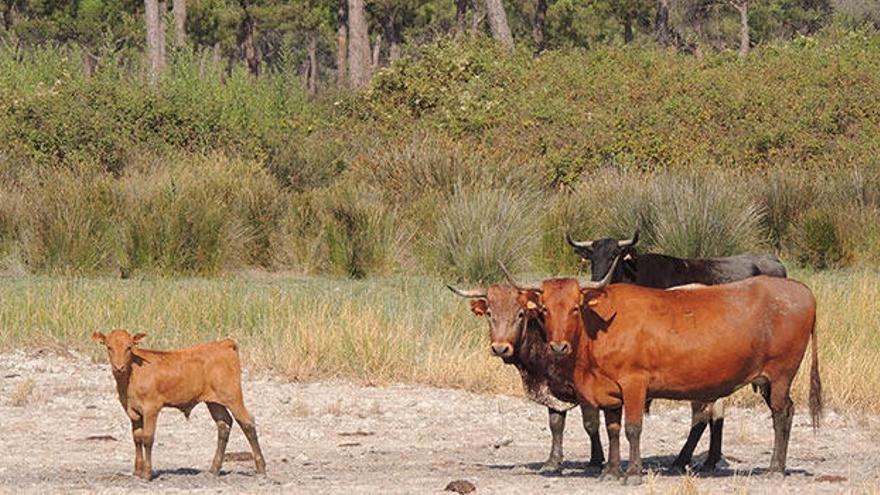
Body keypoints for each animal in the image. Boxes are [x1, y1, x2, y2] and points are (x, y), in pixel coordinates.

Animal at [93, 330, 266, 480]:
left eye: (129, 347)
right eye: (109, 347)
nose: (119, 367)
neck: (131, 376)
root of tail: (223, 344)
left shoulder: (151, 408)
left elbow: (147, 438)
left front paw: (147, 474)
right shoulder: (133, 411)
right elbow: (137, 438)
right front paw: (137, 471)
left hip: (232, 396)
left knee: (247, 422)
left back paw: (261, 468)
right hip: (214, 402)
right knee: (224, 424)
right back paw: (214, 469)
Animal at [512, 276, 820, 484]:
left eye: (575, 307)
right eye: (544, 310)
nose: (558, 347)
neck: (598, 328)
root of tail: (801, 290)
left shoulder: (634, 383)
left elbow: (633, 428)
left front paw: (633, 473)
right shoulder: (609, 391)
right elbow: (612, 429)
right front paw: (611, 471)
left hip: (780, 374)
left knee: (781, 414)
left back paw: (775, 468)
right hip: (767, 380)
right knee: (787, 411)